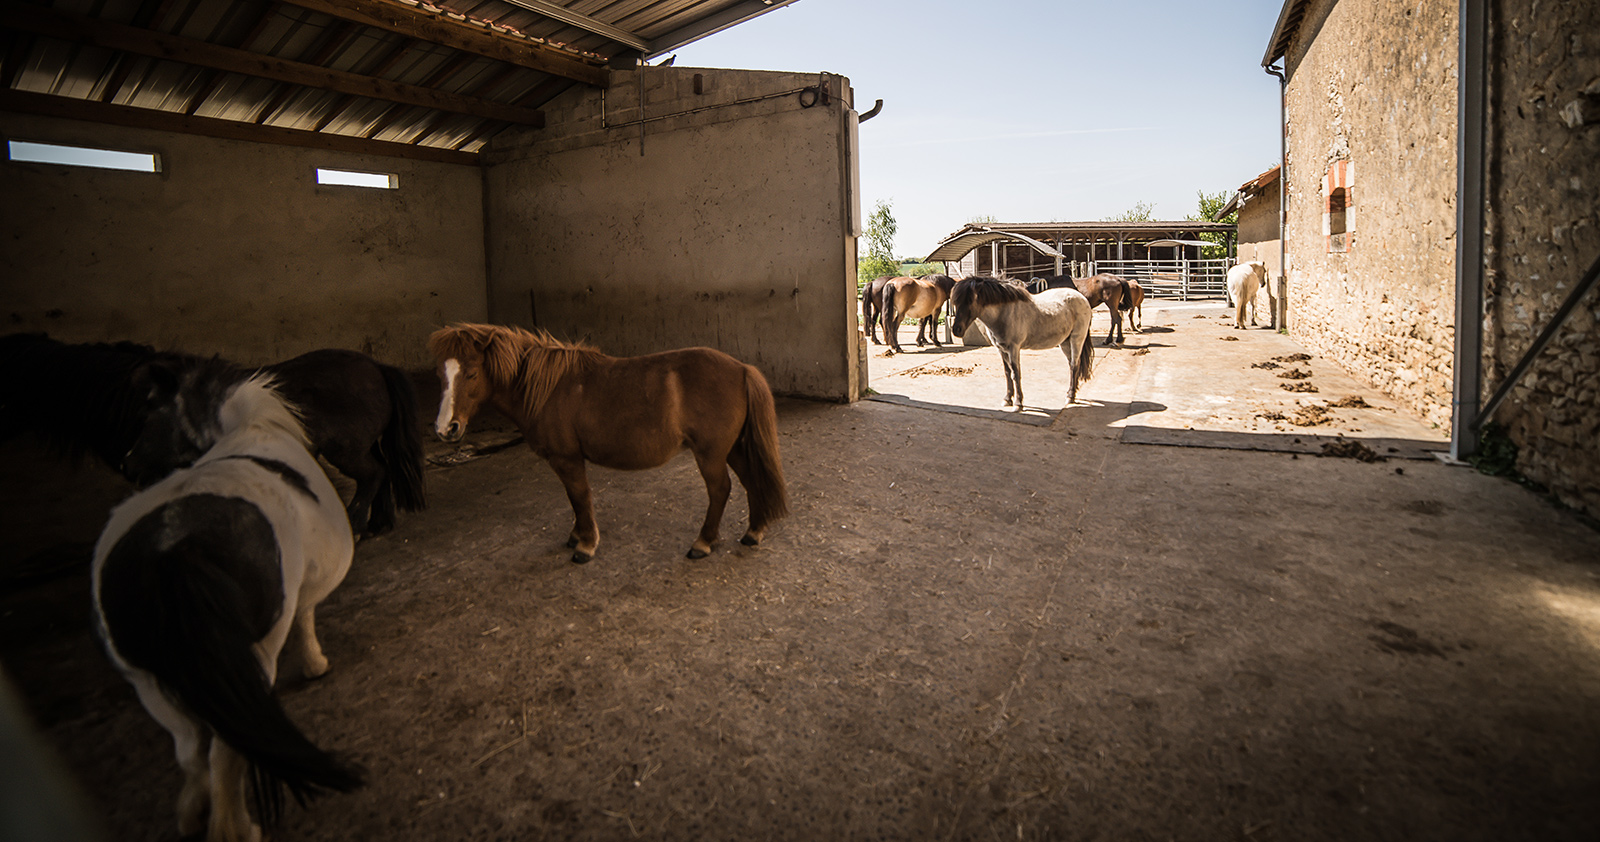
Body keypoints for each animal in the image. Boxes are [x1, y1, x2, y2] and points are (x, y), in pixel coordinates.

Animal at [93, 366, 363, 842]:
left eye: (149, 413)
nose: (127, 463)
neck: (248, 427)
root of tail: (172, 545)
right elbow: (305, 618)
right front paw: (315, 665)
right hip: (252, 658)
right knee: (224, 751)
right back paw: (235, 828)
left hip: (148, 682)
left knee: (190, 750)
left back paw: (195, 815)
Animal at [425, 326, 787, 563]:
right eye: (440, 376)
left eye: (472, 374)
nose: (445, 429)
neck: (549, 389)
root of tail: (741, 368)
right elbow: (574, 500)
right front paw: (576, 536)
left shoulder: (567, 459)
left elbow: (579, 497)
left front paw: (585, 545)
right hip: (732, 449)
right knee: (749, 480)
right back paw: (753, 532)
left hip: (710, 454)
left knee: (720, 490)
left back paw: (703, 543)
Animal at [947, 275, 1100, 409]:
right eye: (956, 302)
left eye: (970, 300)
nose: (956, 330)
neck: (1004, 313)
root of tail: (1082, 298)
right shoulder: (1001, 349)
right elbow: (1007, 373)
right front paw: (1007, 399)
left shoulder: (1014, 348)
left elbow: (1016, 373)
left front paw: (1018, 403)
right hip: (1065, 342)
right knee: (1072, 364)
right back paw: (1071, 392)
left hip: (1076, 338)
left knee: (1074, 364)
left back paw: (1070, 396)